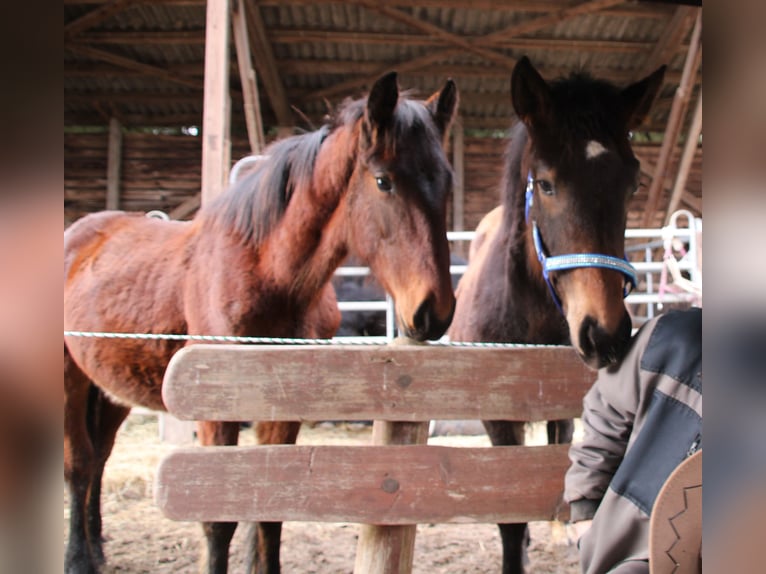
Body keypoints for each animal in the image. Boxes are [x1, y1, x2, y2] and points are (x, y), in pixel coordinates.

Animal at [64, 73, 456, 574]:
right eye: (383, 181)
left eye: (445, 183)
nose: (434, 310)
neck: (267, 275)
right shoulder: (214, 412)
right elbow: (218, 520)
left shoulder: (284, 409)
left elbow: (271, 511)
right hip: (71, 379)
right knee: (79, 463)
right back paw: (79, 557)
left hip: (111, 388)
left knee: (99, 457)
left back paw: (96, 545)